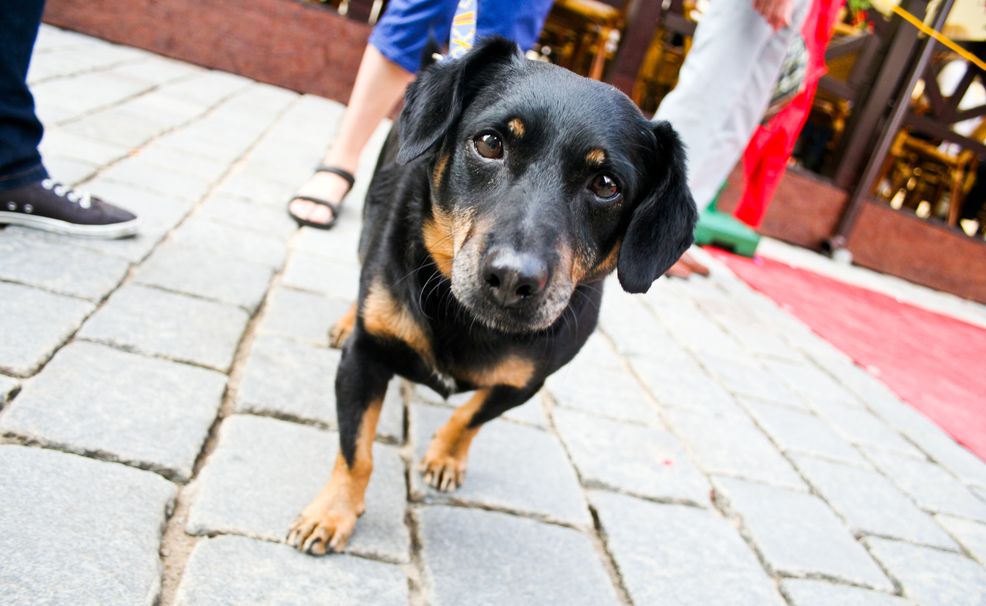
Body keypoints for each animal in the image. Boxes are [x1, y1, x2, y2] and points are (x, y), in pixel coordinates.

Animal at [286, 38, 697, 555]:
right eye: (489, 143)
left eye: (607, 185)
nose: (512, 277)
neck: (466, 320)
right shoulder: (362, 359)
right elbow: (355, 450)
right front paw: (332, 513)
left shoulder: (522, 386)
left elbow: (471, 416)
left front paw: (446, 455)